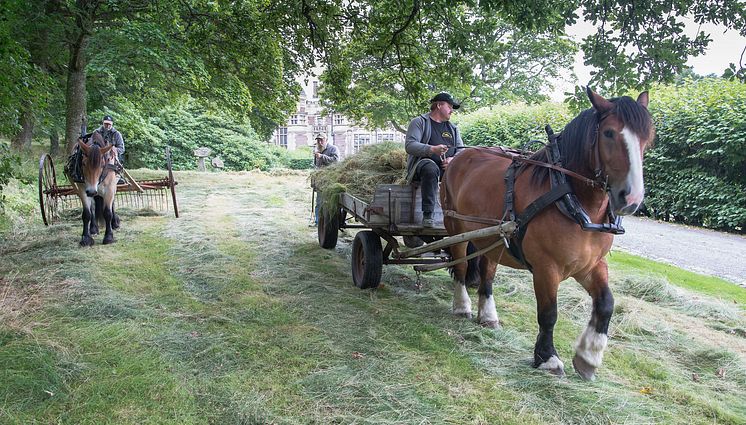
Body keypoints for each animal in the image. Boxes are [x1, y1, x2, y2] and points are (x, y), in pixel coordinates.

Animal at [438, 88, 652, 380]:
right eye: (609, 133)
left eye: (648, 136)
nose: (630, 199)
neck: (569, 197)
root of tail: (458, 157)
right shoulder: (546, 268)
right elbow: (549, 313)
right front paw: (547, 357)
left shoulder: (590, 265)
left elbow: (606, 303)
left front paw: (588, 356)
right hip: (455, 227)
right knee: (460, 268)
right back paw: (462, 306)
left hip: (493, 238)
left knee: (487, 273)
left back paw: (488, 314)